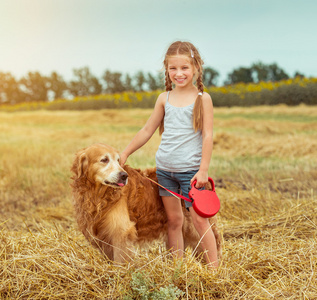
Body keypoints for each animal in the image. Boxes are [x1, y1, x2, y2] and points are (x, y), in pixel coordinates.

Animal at [71, 143, 220, 262]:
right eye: (104, 160)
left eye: (118, 161)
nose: (124, 175)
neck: (97, 195)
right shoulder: (104, 235)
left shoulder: (121, 231)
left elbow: (120, 260)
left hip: (196, 230)